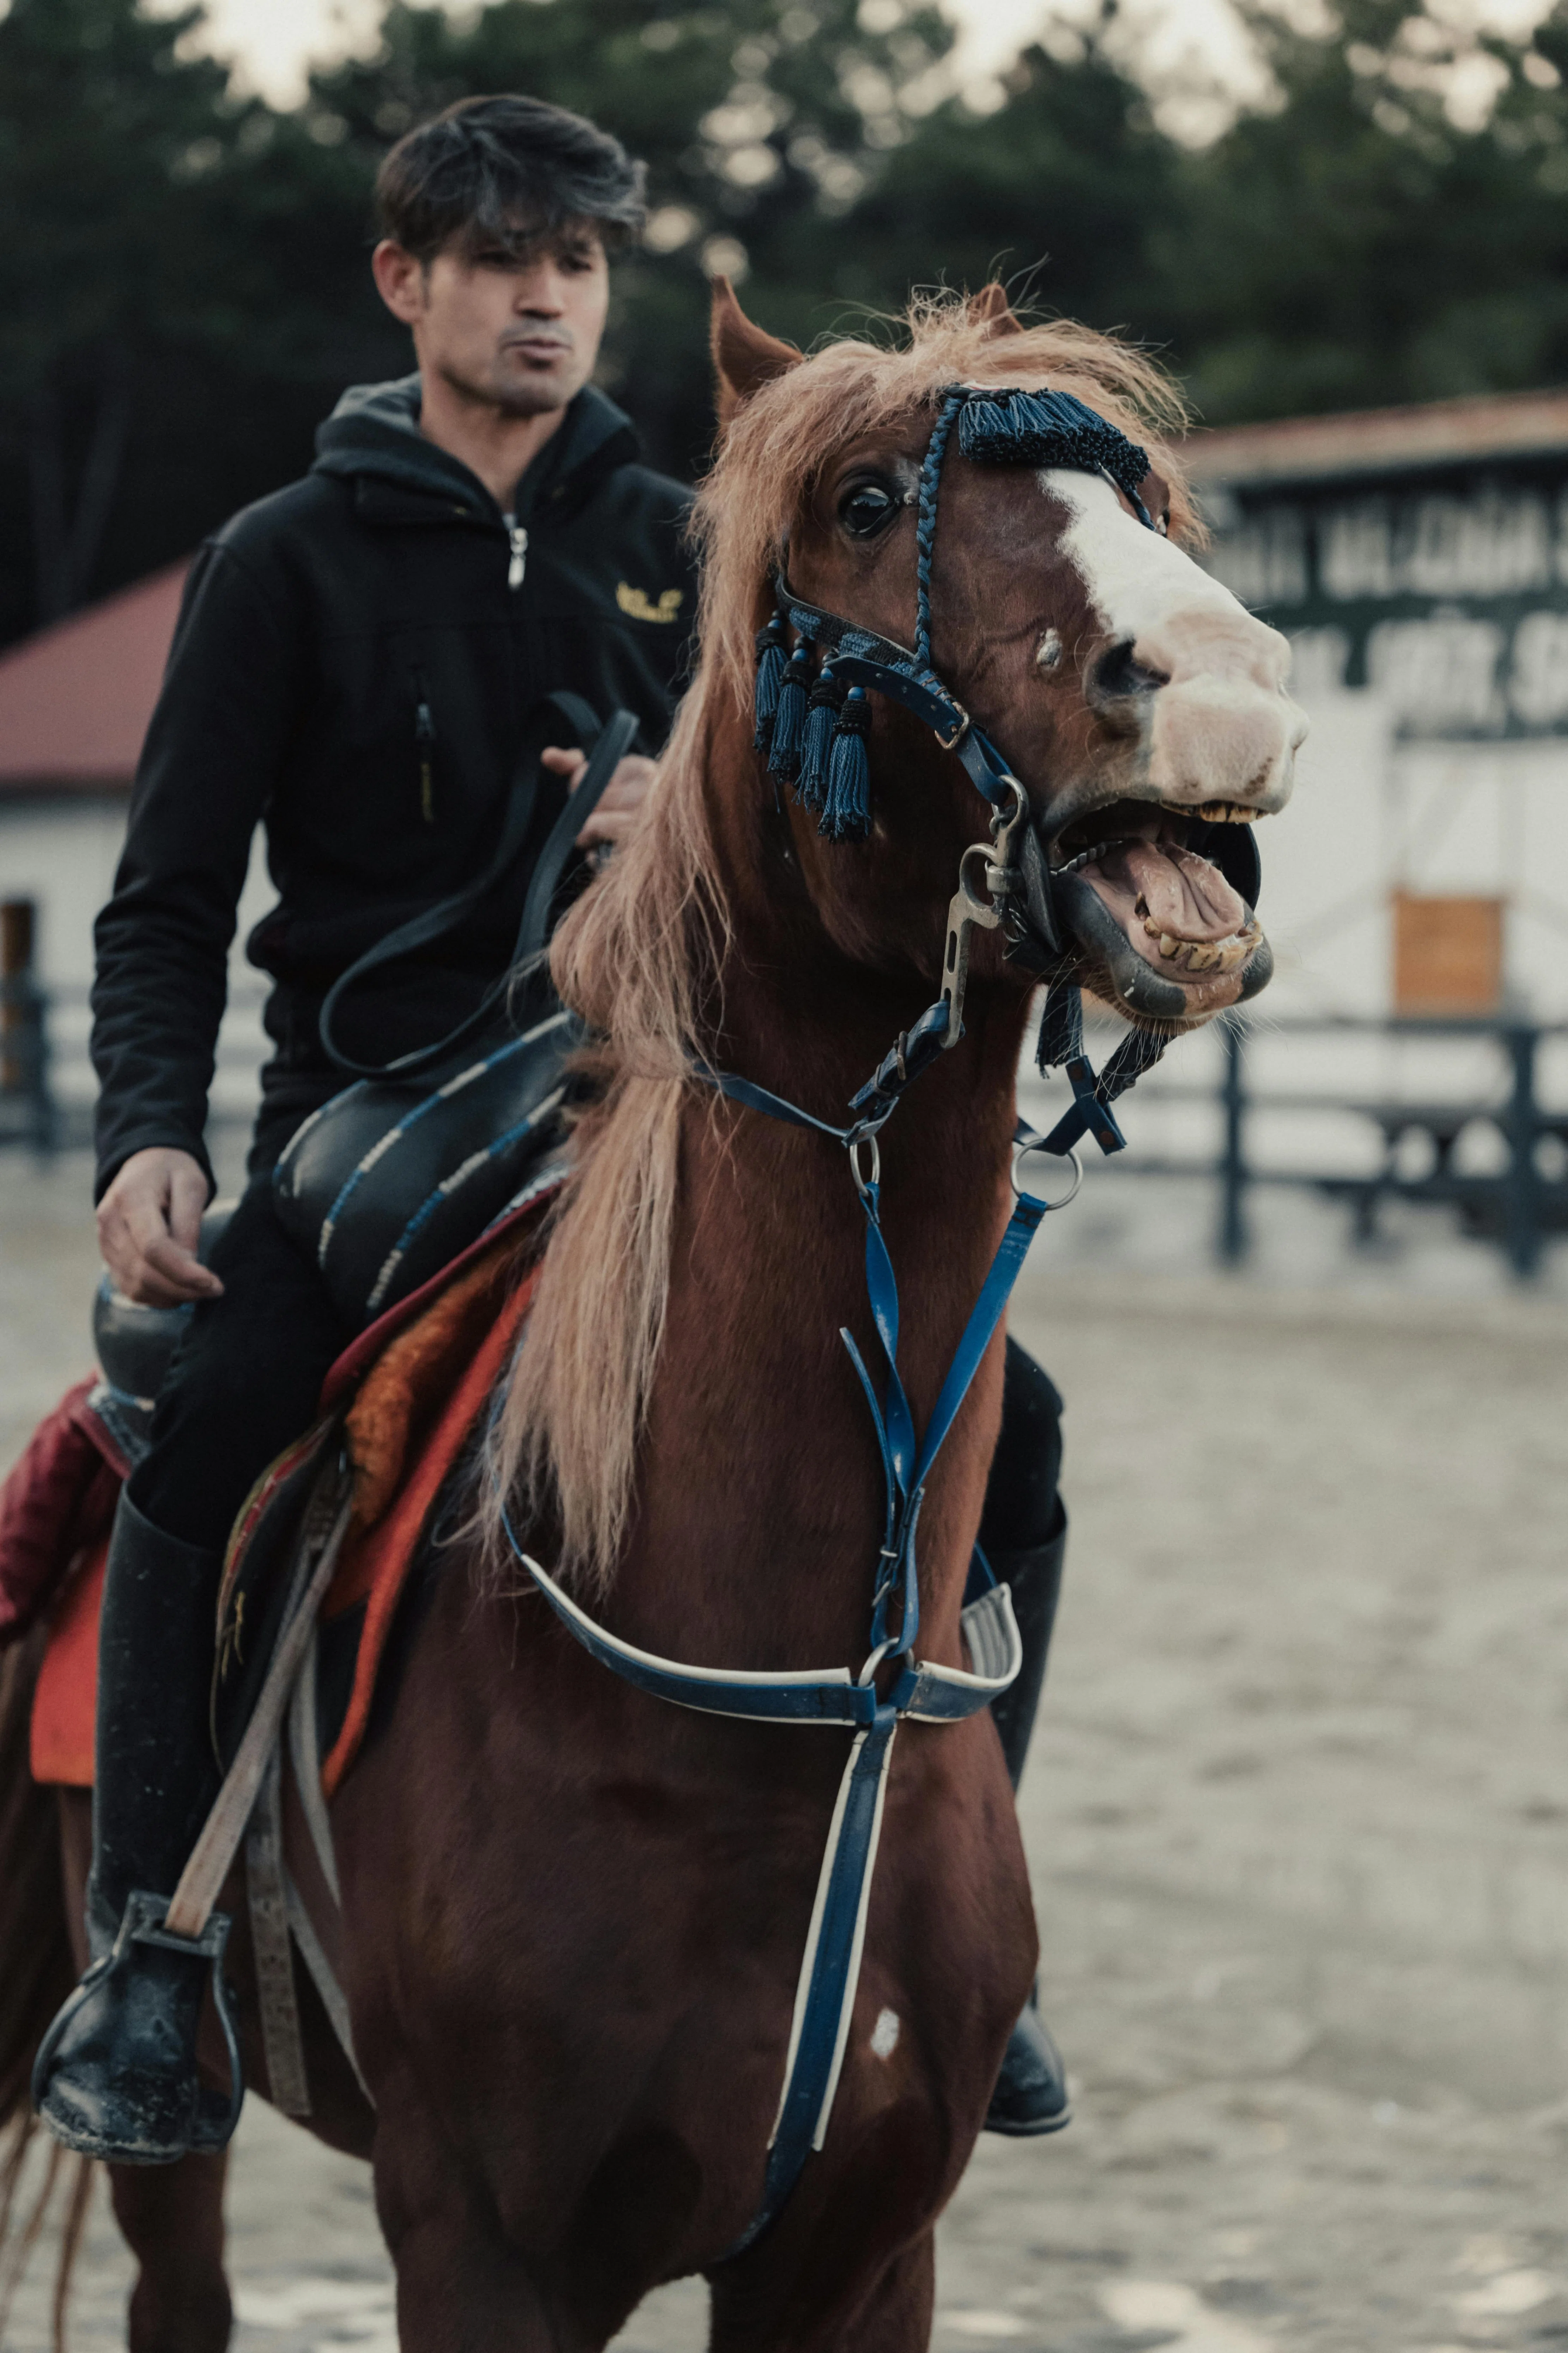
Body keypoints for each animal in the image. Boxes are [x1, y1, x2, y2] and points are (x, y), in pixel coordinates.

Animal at [0, 279, 1303, 2351]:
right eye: (866, 501)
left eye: (1135, 493)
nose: (1224, 681)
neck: (763, 1717)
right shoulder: (484, 2248)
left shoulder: (860, 2253)